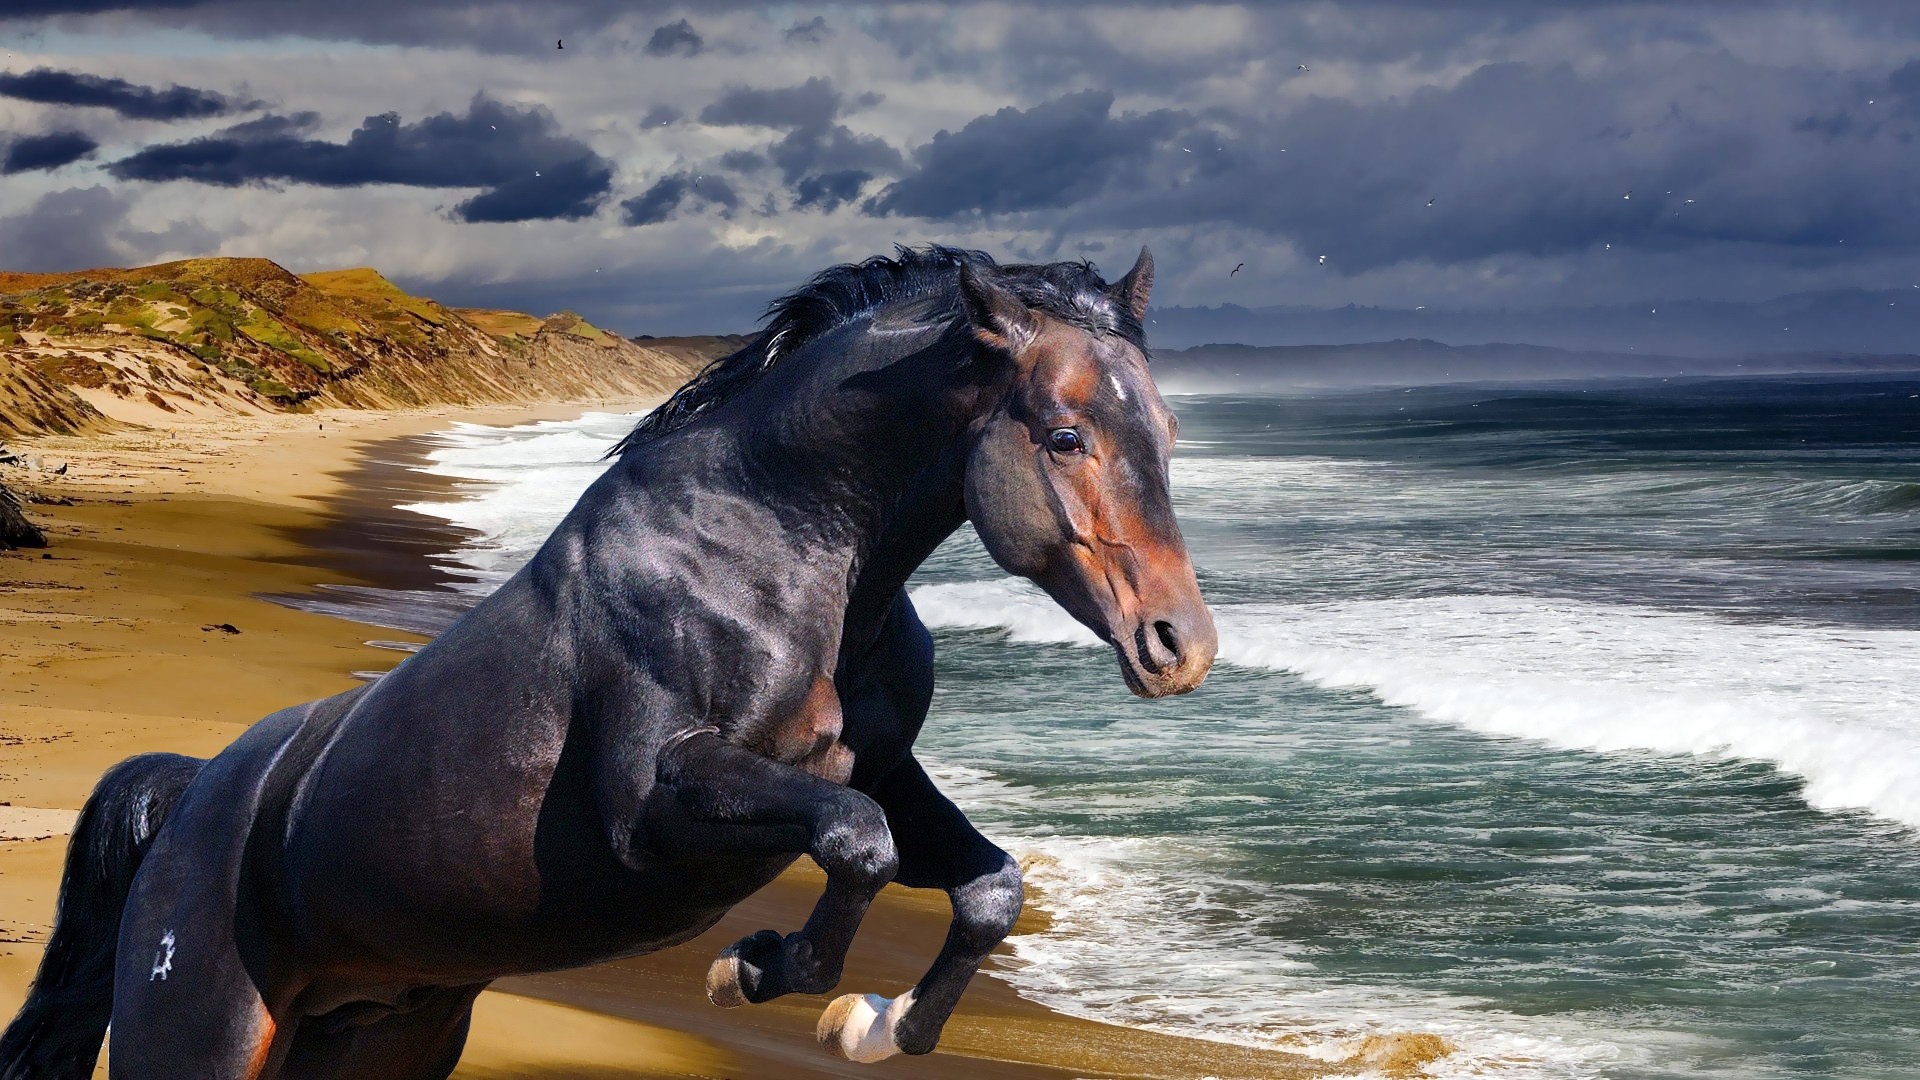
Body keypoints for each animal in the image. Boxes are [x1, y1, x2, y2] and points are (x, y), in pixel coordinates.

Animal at [0, 244, 1216, 1079]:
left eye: (1167, 430)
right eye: (1065, 435)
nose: (1182, 648)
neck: (768, 548)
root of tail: (188, 799)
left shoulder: (883, 770)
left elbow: (986, 887)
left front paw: (876, 1025)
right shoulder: (658, 807)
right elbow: (857, 845)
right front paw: (756, 969)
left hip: (370, 1041)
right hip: (205, 1038)